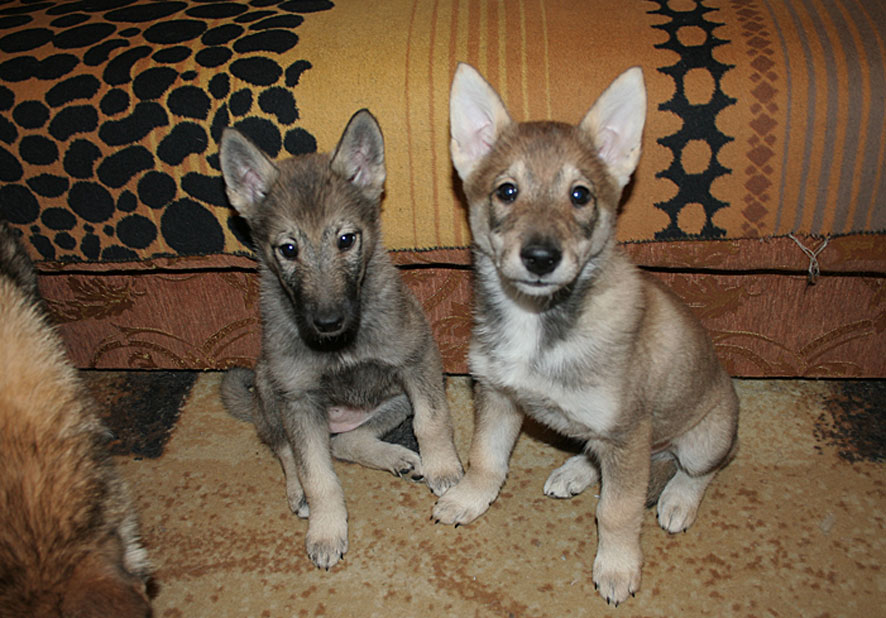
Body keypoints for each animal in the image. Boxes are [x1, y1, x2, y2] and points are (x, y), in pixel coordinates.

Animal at [434, 65, 740, 604]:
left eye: (580, 195)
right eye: (506, 190)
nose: (540, 258)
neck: (538, 322)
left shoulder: (627, 431)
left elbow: (616, 511)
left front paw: (617, 567)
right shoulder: (497, 396)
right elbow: (485, 459)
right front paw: (469, 499)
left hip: (706, 436)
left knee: (697, 472)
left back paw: (677, 501)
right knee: (604, 458)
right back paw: (575, 470)